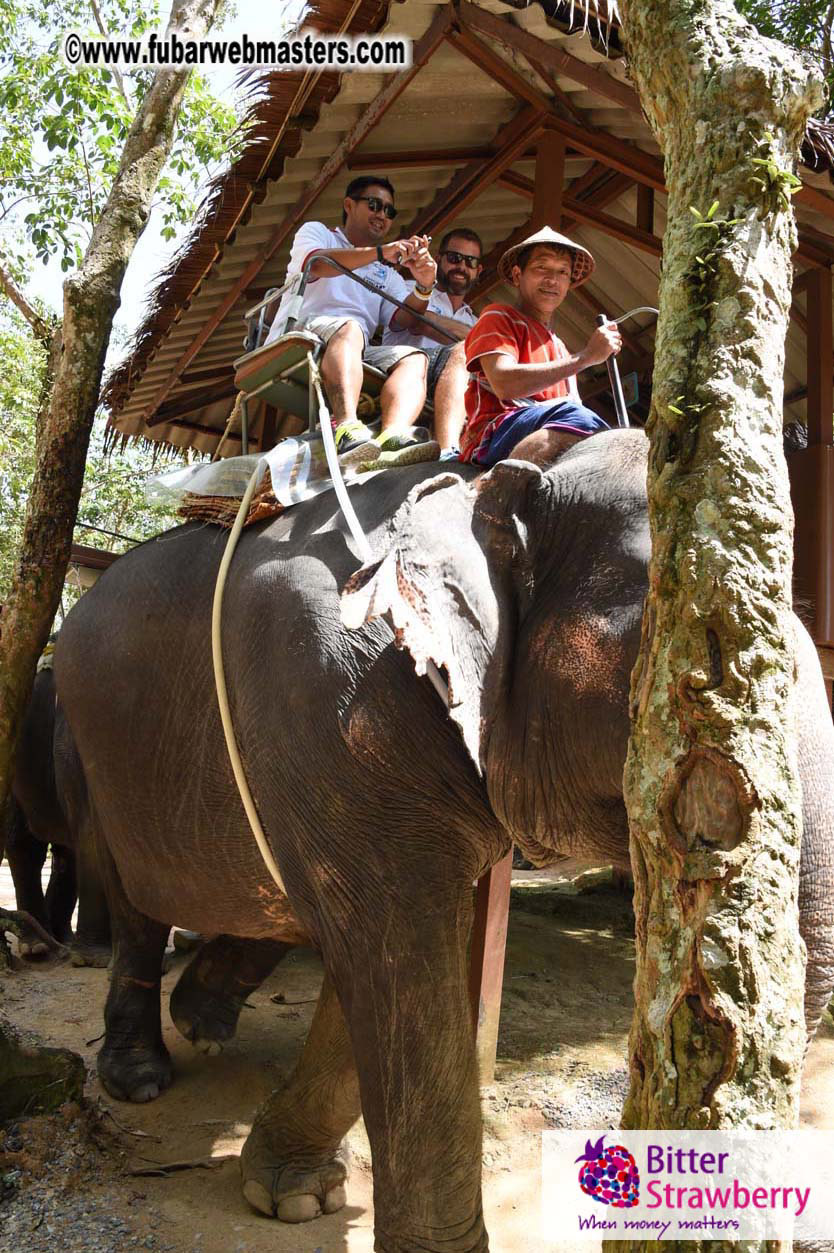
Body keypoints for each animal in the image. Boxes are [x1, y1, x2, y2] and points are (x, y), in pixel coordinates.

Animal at [52, 428, 834, 1251]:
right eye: (683, 657)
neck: (487, 488)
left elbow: (388, 958)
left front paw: (294, 1195)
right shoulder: (337, 705)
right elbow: (403, 963)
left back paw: (202, 1020)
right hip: (86, 742)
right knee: (135, 903)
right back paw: (139, 1074)